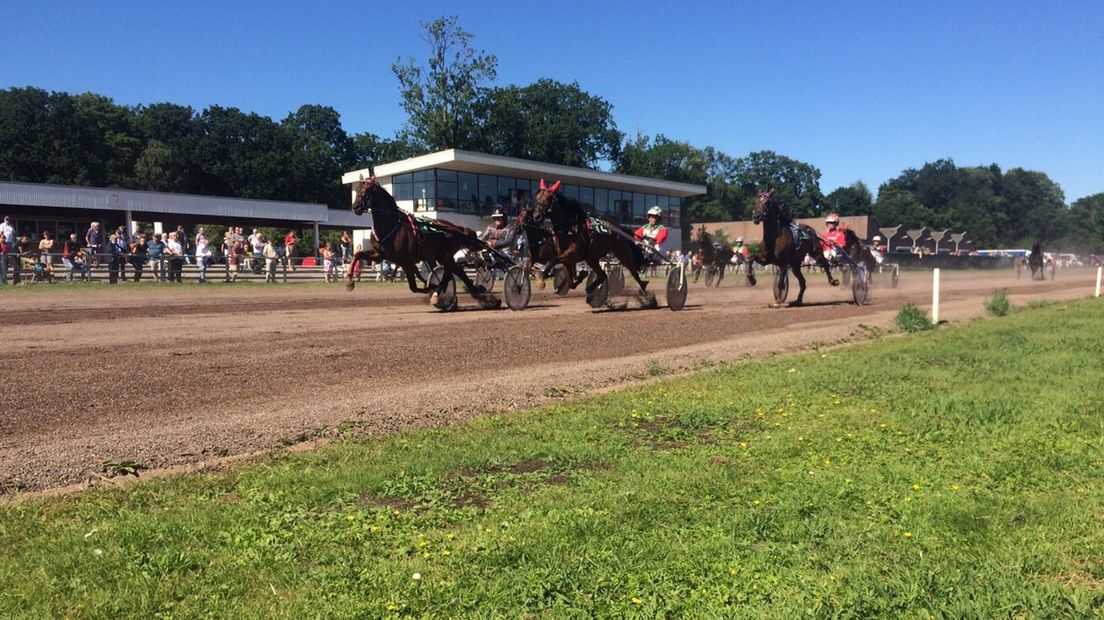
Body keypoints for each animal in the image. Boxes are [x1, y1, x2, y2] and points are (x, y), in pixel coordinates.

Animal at [346, 175, 499, 304]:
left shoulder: (405, 261)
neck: (390, 225)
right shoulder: (381, 254)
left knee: (449, 271)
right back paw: (476, 291)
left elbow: (414, 285)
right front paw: (349, 281)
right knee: (457, 270)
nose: (355, 207)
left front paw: (433, 288)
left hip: (444, 254)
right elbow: (357, 254)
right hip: (440, 255)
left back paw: (441, 291)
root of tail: (455, 228)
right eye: (356, 189)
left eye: (367, 190)